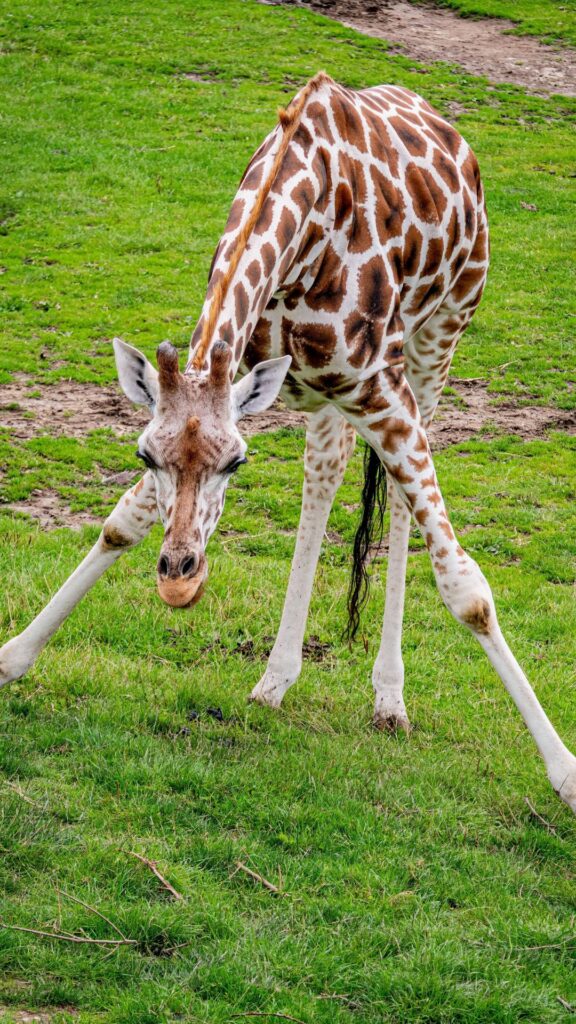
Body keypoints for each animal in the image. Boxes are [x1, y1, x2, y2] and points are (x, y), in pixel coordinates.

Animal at [1, 73, 575, 813]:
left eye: (236, 462)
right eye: (145, 455)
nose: (180, 581)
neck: (304, 226)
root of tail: (455, 139)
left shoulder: (381, 388)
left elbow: (467, 592)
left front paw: (565, 772)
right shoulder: (253, 378)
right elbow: (120, 524)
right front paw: (11, 658)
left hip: (438, 340)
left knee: (395, 497)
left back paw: (389, 699)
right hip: (331, 398)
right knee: (325, 474)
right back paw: (274, 680)